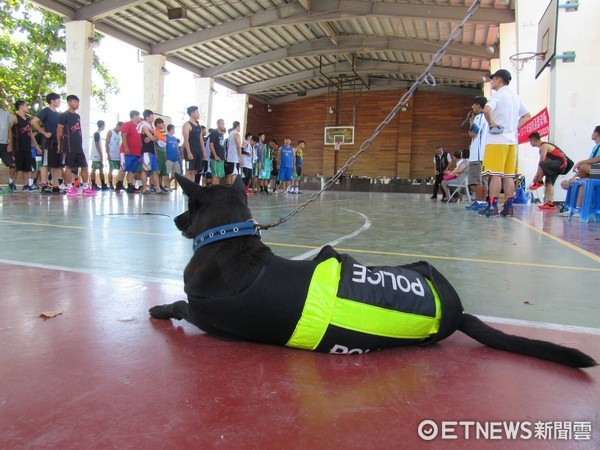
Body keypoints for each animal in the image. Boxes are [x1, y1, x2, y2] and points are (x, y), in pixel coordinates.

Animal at [149, 174, 596, 368]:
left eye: (189, 205)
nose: (174, 220)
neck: (227, 238)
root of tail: (455, 311)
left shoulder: (206, 316)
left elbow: (179, 304)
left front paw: (159, 311)